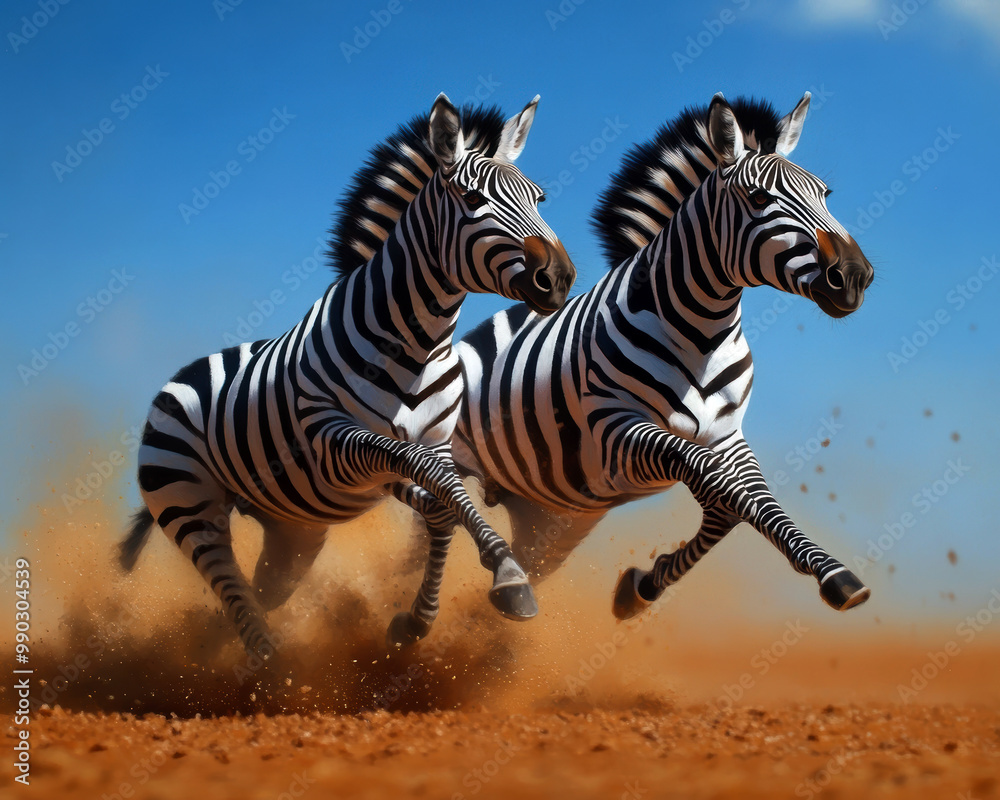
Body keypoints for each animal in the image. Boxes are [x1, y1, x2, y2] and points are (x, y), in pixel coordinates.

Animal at [119, 93, 576, 659]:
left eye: (539, 198)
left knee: (255, 591)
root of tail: (178, 377)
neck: (417, 341)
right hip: (186, 502)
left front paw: (423, 618)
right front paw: (507, 576)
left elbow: (444, 503)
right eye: (471, 199)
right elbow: (423, 476)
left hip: (293, 533)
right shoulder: (333, 440)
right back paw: (269, 665)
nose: (559, 278)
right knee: (229, 584)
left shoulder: (434, 445)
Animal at [387, 92, 874, 644]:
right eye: (755, 197)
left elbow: (743, 506)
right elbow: (716, 484)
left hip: (553, 519)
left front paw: (642, 587)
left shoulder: (727, 436)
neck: (701, 333)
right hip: (458, 457)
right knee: (429, 529)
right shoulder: (619, 432)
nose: (853, 276)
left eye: (825, 193)